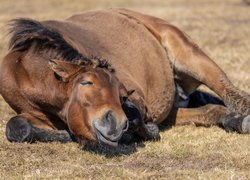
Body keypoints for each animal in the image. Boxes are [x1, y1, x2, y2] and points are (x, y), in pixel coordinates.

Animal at [0, 7, 249, 147]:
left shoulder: (136, 100)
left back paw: (243, 116)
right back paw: (233, 119)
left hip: (188, 53)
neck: (23, 71)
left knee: (229, 91)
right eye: (86, 82)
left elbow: (137, 116)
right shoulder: (36, 114)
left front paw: (142, 133)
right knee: (211, 110)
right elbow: (16, 127)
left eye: (121, 92)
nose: (116, 124)